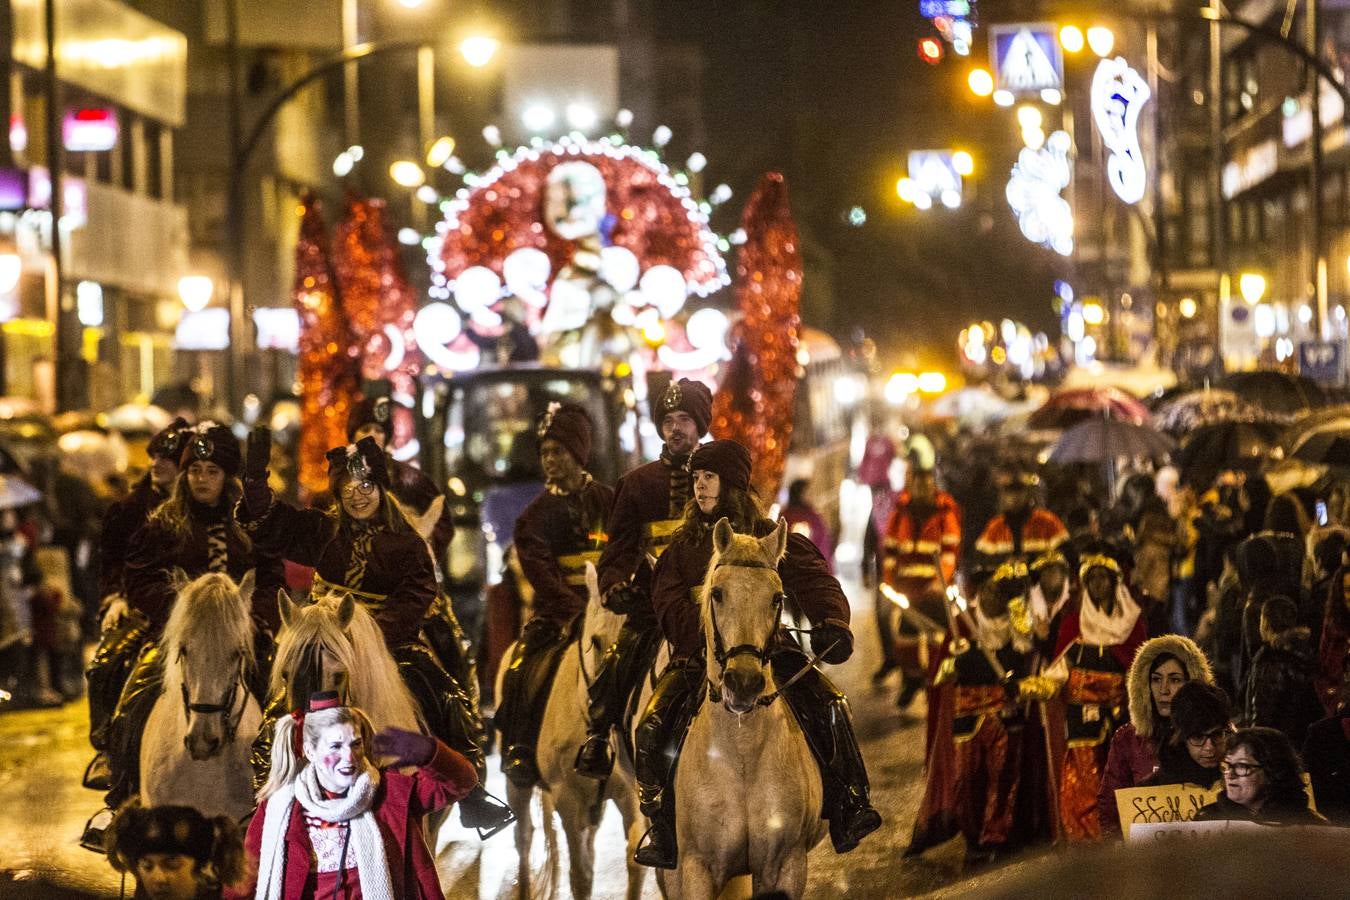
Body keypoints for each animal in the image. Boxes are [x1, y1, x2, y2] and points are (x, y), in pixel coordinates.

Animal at [496, 566, 648, 900]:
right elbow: (581, 875)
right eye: (595, 641)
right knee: (524, 837)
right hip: (517, 786)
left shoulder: (629, 796)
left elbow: (634, 858)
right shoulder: (567, 799)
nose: (610, 707)